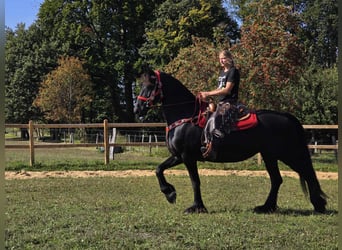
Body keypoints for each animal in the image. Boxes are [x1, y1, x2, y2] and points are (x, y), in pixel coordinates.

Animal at [133, 70, 326, 213]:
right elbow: (158, 169)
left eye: (149, 85)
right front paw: (170, 194)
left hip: (288, 154)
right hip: (270, 155)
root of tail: (286, 117)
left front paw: (197, 207)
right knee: (277, 180)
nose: (137, 108)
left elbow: (195, 181)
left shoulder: (188, 157)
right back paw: (266, 207)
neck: (186, 116)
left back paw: (319, 205)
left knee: (306, 174)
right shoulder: (178, 156)